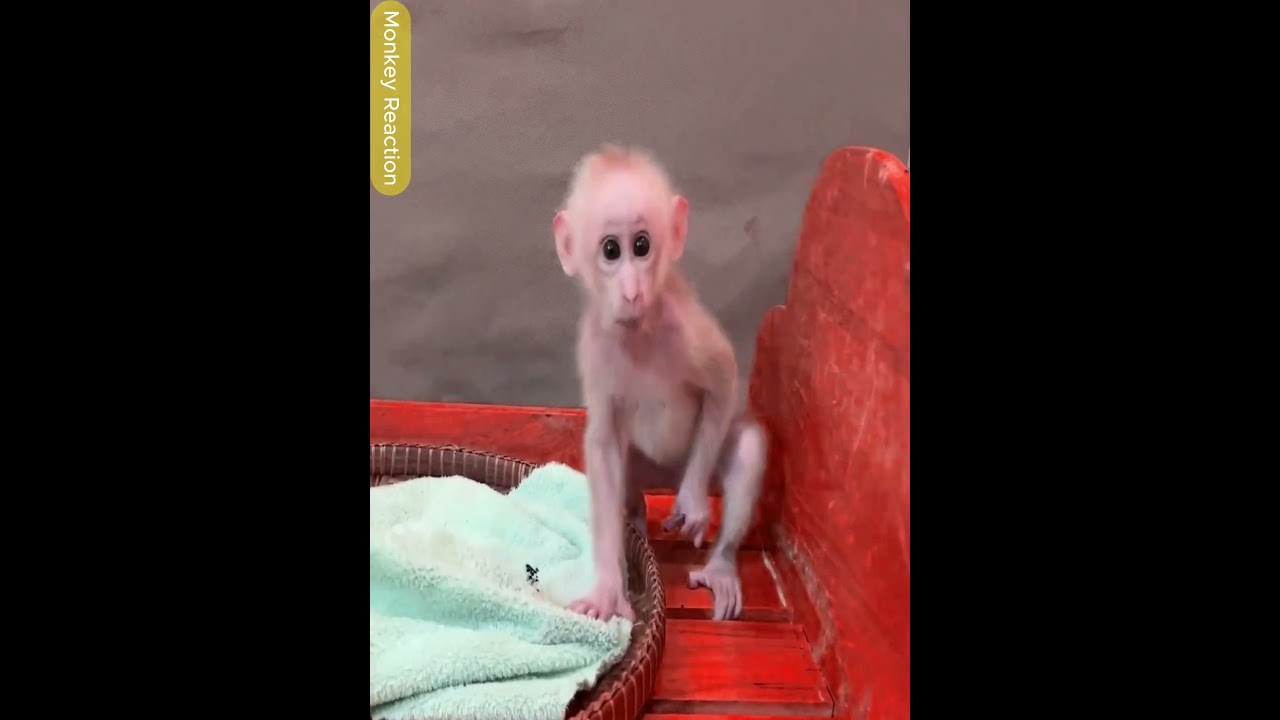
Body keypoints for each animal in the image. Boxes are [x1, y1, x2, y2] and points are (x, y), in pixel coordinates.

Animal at [552, 144, 766, 622]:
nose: (632, 291)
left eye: (642, 246)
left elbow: (723, 382)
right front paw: (608, 589)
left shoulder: (684, 325)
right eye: (611, 250)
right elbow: (603, 446)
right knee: (624, 477)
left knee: (745, 448)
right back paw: (634, 523)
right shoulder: (595, 345)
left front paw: (692, 504)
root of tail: (667, 474)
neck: (639, 331)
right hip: (644, 467)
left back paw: (719, 563)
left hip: (695, 458)